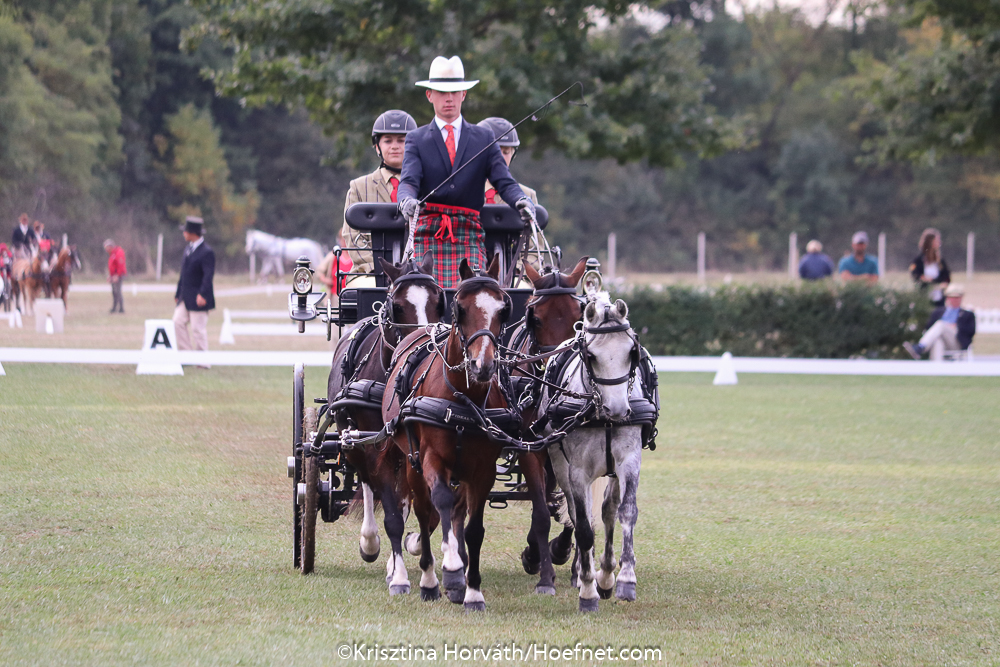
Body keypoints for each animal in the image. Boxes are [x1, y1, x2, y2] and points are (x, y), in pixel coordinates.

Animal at [318, 252, 444, 576]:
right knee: (366, 484)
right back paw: (371, 541)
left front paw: (411, 546)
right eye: (396, 306)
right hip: (354, 441)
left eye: (439, 301)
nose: (424, 346)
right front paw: (383, 555)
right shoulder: (372, 447)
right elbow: (386, 506)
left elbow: (415, 507)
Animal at [378, 258, 512, 612]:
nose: (482, 366)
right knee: (424, 511)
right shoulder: (430, 459)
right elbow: (439, 502)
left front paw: (473, 590)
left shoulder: (482, 471)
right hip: (409, 462)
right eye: (460, 308)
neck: (462, 399)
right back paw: (425, 579)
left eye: (503, 309)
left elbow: (473, 528)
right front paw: (451, 569)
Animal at [540, 294, 648, 612]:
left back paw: (607, 573)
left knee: (609, 510)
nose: (618, 410)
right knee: (580, 516)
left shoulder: (629, 462)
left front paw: (624, 578)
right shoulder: (577, 471)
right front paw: (588, 591)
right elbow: (584, 528)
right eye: (592, 356)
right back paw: (583, 574)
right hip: (560, 466)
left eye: (632, 352)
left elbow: (627, 513)